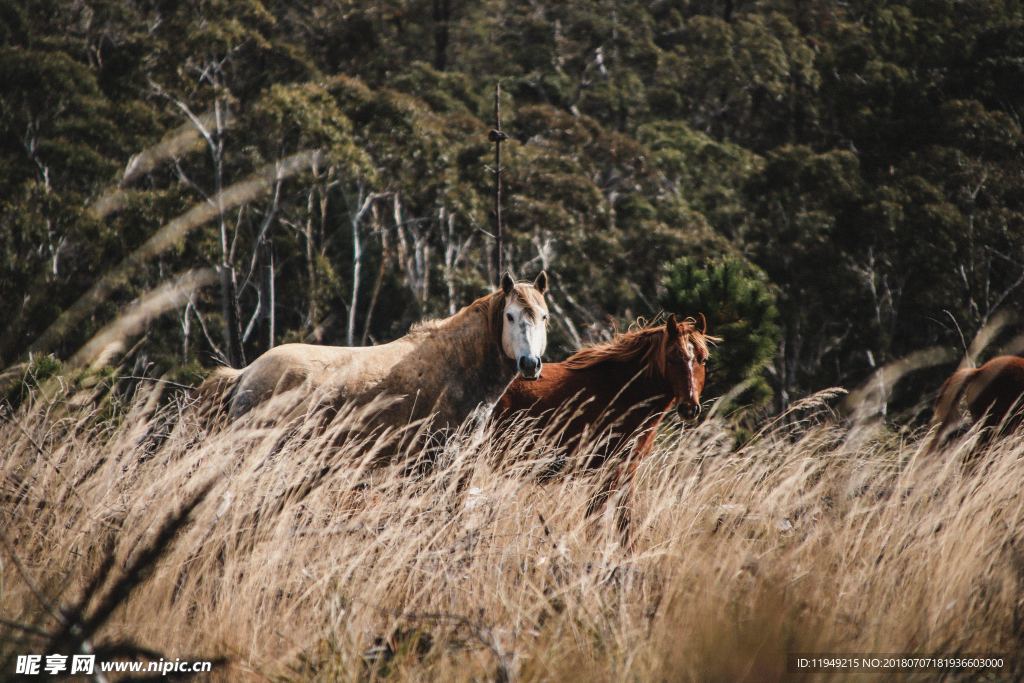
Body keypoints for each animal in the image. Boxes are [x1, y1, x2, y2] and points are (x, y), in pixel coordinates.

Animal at [493, 315, 716, 544]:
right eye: (672, 358)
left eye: (703, 359)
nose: (689, 408)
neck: (621, 391)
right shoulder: (606, 470)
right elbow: (598, 523)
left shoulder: (627, 469)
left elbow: (623, 522)